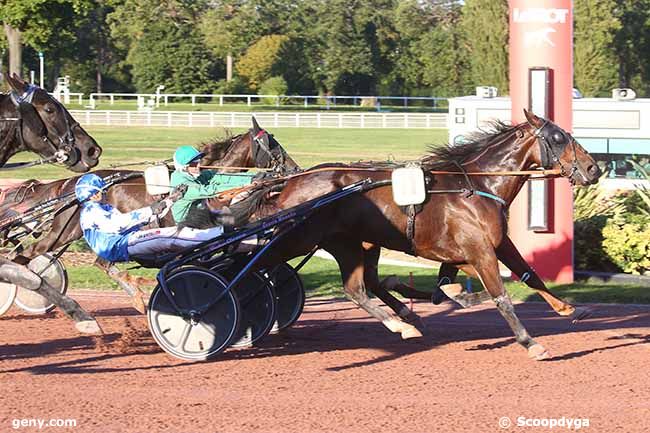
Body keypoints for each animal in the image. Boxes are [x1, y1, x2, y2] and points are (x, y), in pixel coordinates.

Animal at [239, 109, 604, 360]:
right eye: (558, 138)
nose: (593, 169)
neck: (479, 185)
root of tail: (290, 182)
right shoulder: (480, 249)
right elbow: (500, 296)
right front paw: (530, 343)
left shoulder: (492, 245)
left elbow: (528, 275)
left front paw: (570, 308)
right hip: (298, 239)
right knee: (253, 265)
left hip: (349, 243)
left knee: (358, 287)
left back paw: (404, 321)